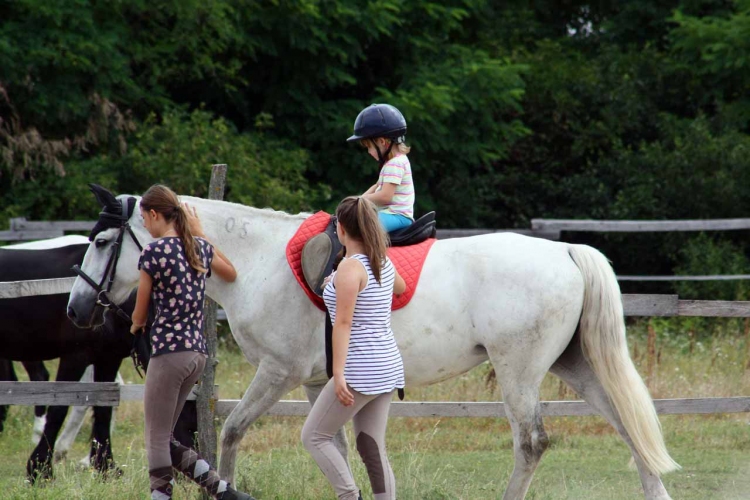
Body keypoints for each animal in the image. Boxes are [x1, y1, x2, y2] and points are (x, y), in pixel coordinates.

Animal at [0, 240, 197, 482]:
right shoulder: (76, 357)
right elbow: (59, 408)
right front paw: (40, 468)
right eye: (187, 413)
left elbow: (103, 407)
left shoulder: (108, 358)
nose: (188, 472)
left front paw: (105, 465)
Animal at [69, 188, 680, 500]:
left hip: (519, 372)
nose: (76, 310)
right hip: (576, 366)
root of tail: (564, 251)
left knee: (531, 443)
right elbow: (337, 448)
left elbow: (234, 431)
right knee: (629, 426)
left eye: (101, 241)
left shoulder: (278, 372)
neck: (258, 262)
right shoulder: (320, 383)